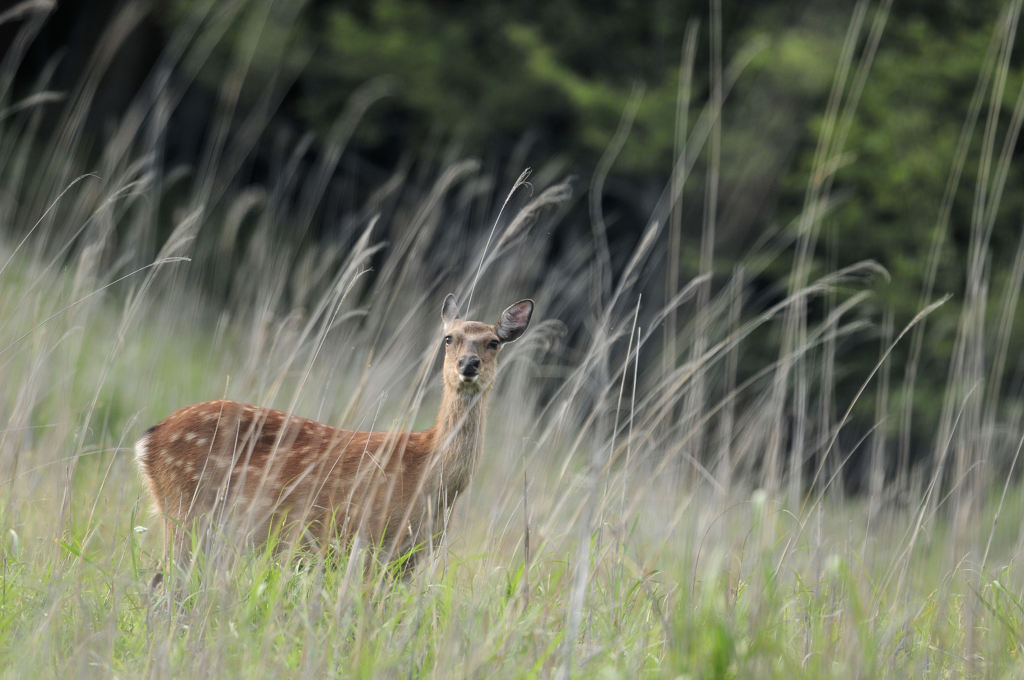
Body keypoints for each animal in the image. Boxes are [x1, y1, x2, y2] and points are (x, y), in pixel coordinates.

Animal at [134, 294, 536, 577]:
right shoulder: (369, 541)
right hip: (189, 513)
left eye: (493, 342)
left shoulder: (409, 558)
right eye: (449, 338)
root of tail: (149, 441)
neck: (431, 479)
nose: (469, 365)